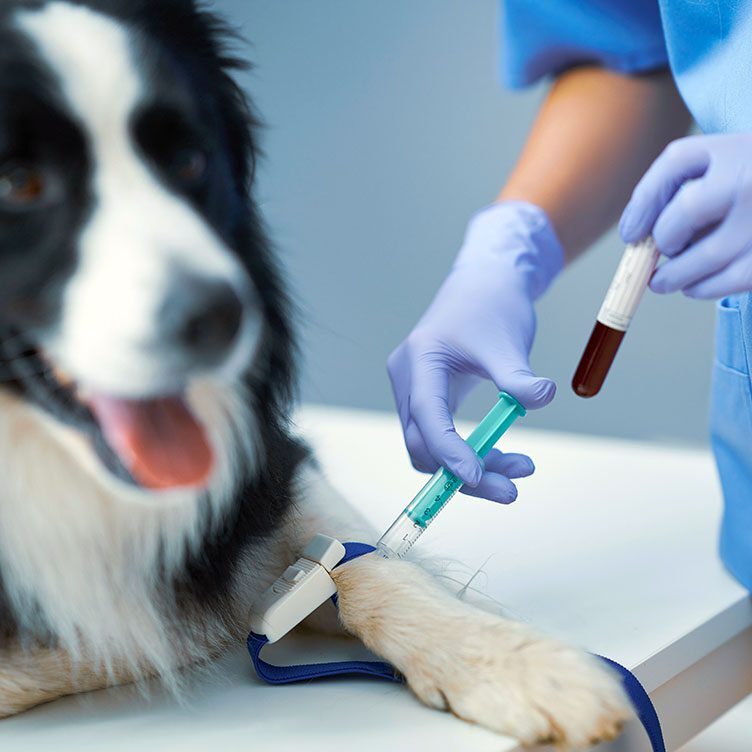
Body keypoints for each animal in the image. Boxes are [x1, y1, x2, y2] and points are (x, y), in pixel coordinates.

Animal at [0, 2, 632, 748]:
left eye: (188, 162)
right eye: (17, 182)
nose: (226, 316)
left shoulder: (274, 474)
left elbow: (364, 561)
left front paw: (525, 663)